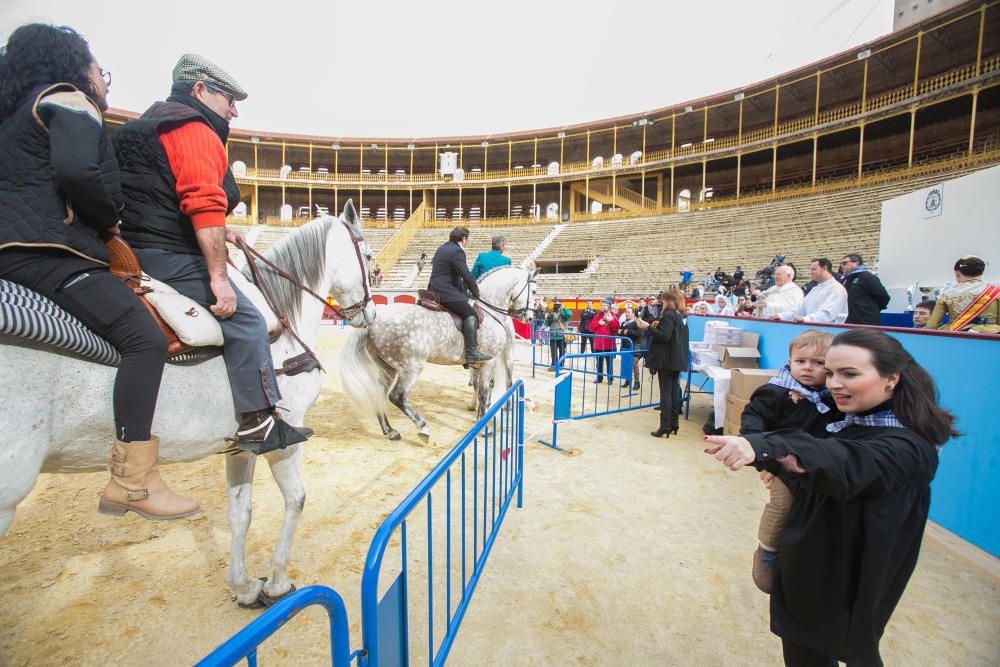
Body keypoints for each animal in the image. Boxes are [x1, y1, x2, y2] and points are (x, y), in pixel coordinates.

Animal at [0, 201, 374, 608]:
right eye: (369, 256)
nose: (369, 313)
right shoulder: (285, 437)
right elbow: (296, 498)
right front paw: (277, 581)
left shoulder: (242, 444)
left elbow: (240, 511)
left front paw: (244, 587)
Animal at [340, 266, 536, 444]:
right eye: (534, 291)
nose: (530, 318)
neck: (490, 311)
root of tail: (373, 321)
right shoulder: (489, 362)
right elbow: (483, 393)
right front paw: (483, 428)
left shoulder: (481, 365)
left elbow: (483, 390)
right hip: (412, 366)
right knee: (397, 396)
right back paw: (423, 428)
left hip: (388, 367)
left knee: (379, 394)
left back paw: (390, 431)